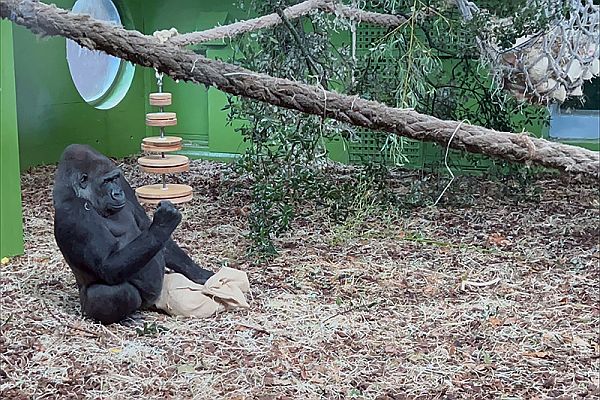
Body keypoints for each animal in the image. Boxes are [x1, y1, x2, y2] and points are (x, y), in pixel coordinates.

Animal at [52, 144, 214, 324]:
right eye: (106, 181)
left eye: (115, 178)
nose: (117, 193)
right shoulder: (75, 211)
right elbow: (107, 265)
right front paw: (164, 222)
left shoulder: (124, 184)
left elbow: (146, 226)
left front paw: (201, 274)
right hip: (88, 309)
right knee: (109, 292)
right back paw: (126, 318)